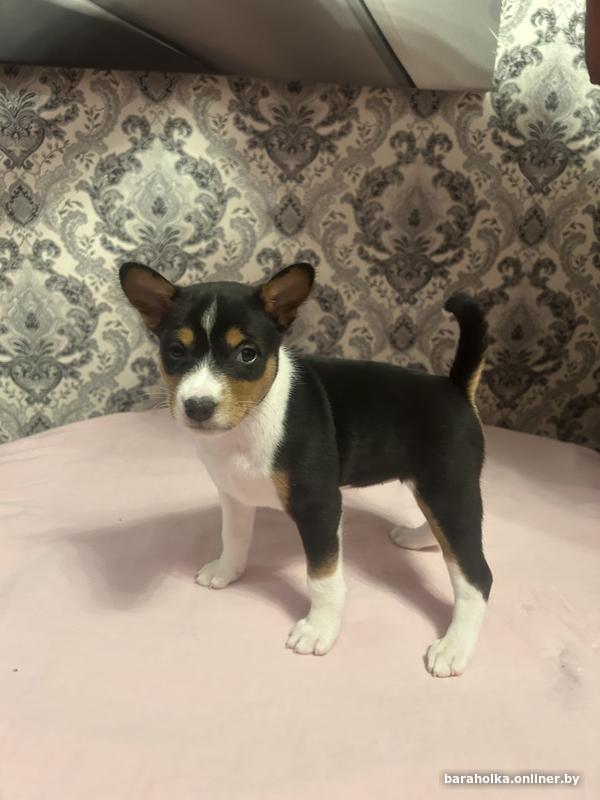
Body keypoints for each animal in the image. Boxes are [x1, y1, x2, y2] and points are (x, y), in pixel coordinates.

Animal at [120, 261, 492, 677]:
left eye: (247, 354)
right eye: (175, 352)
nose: (198, 406)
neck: (251, 421)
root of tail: (455, 388)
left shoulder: (319, 507)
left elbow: (323, 578)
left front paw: (319, 630)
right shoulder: (233, 493)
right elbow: (233, 537)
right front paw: (227, 571)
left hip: (448, 487)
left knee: (475, 576)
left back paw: (454, 647)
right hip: (438, 487)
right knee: (440, 527)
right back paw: (416, 538)